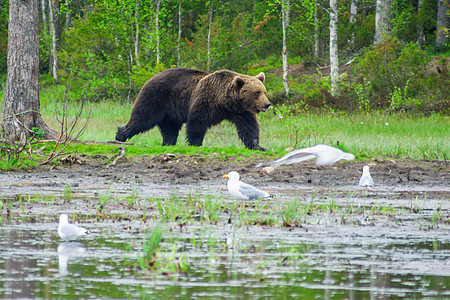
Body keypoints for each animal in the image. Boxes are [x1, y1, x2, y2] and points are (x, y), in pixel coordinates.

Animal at [116, 67, 270, 150]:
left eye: (264, 91)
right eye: (257, 92)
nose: (267, 104)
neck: (224, 102)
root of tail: (151, 78)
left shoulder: (241, 111)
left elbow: (249, 128)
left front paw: (258, 146)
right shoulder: (205, 101)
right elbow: (197, 123)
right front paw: (196, 143)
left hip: (171, 112)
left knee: (170, 129)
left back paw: (168, 143)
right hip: (156, 98)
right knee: (142, 119)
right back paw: (121, 135)